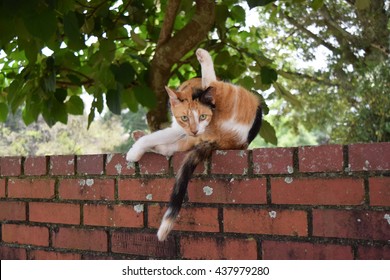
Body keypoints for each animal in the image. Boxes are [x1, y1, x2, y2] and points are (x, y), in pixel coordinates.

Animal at [128, 48, 262, 241]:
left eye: (202, 116)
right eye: (185, 117)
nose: (195, 129)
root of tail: (235, 139)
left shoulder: (181, 129)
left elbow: (155, 137)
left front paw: (134, 152)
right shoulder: (182, 128)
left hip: (228, 93)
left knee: (213, 81)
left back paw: (202, 54)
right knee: (170, 149)